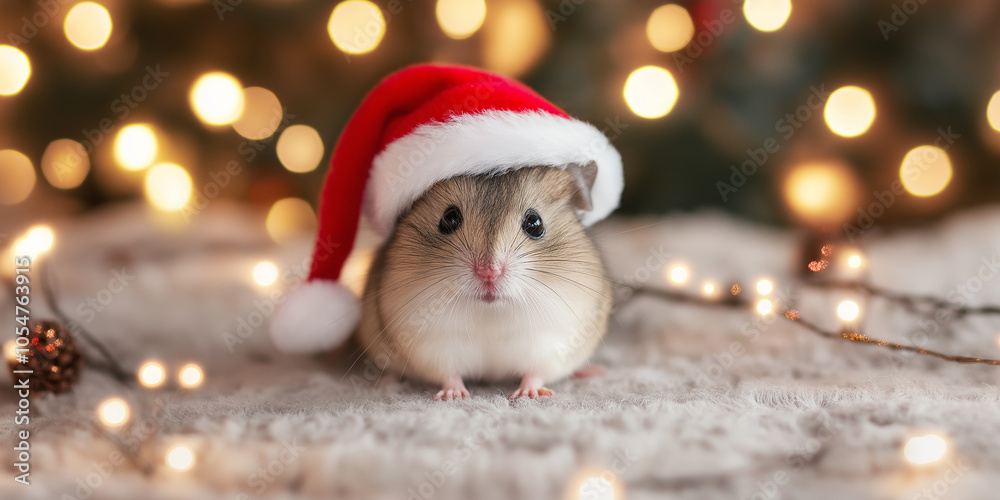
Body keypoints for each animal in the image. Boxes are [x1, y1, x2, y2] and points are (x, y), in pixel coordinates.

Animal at [356, 164, 612, 400]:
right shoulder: (430, 343)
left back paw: (594, 371)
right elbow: (448, 373)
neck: (489, 314)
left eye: (535, 223)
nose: (489, 273)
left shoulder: (551, 341)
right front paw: (454, 395)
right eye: (449, 218)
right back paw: (382, 382)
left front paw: (529, 394)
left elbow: (536, 372)